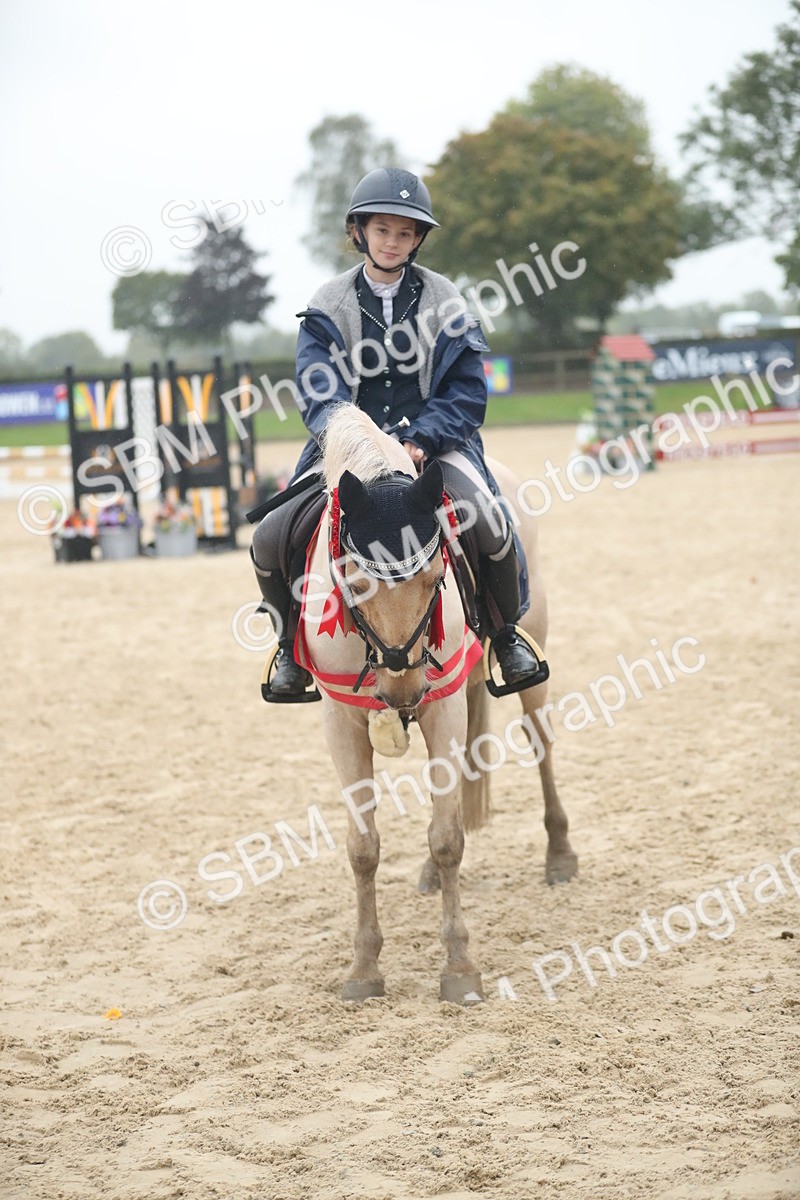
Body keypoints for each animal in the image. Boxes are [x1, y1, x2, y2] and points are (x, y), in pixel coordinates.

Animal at [292, 404, 577, 1004]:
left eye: (433, 575)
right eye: (355, 580)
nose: (402, 688)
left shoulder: (440, 706)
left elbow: (448, 838)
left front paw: (460, 968)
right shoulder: (341, 720)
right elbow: (363, 847)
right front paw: (363, 969)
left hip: (527, 656)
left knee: (539, 741)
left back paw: (560, 854)